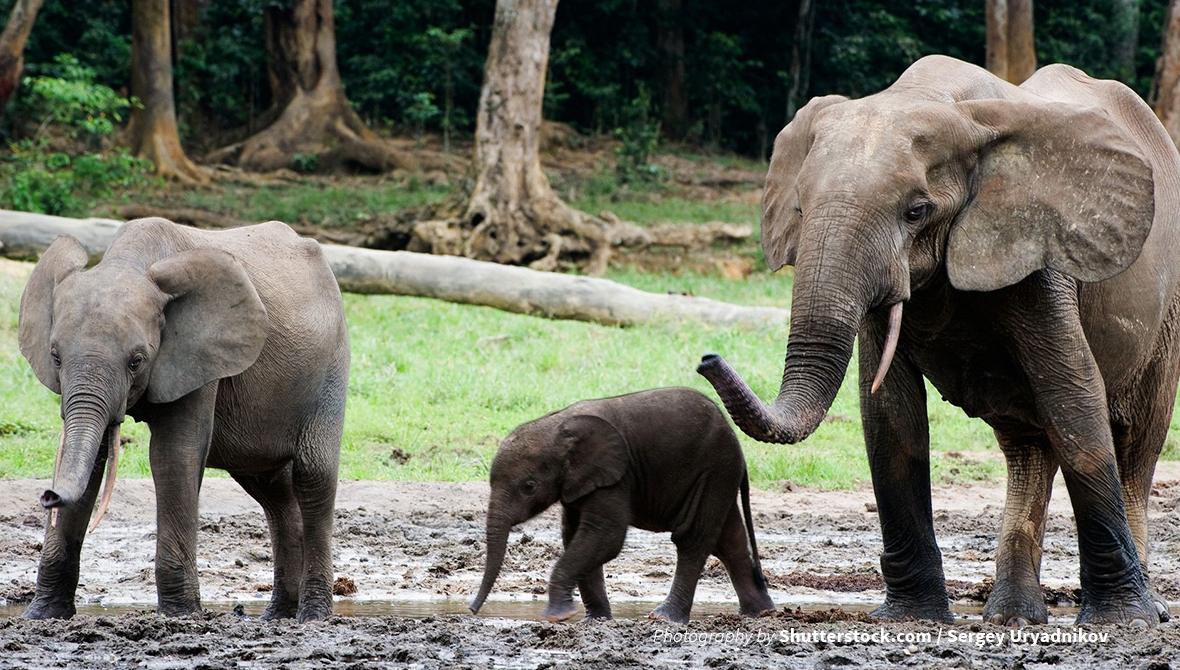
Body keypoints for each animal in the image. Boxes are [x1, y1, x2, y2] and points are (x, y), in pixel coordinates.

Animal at [464, 386, 778, 622]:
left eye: (529, 487)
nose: (471, 610)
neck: (558, 425)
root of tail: (736, 440)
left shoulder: (616, 475)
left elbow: (605, 535)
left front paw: (558, 616)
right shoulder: (581, 482)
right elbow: (576, 536)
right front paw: (594, 620)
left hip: (714, 469)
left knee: (693, 538)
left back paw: (665, 618)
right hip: (718, 475)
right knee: (730, 540)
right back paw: (760, 613)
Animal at [693, 56, 1180, 627]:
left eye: (915, 211)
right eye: (799, 210)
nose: (706, 358)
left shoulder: (1039, 252)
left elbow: (1074, 396)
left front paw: (1122, 623)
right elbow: (890, 415)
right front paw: (909, 618)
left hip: (1167, 311)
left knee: (1136, 444)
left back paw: (1136, 610)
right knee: (1028, 446)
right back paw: (1012, 617)